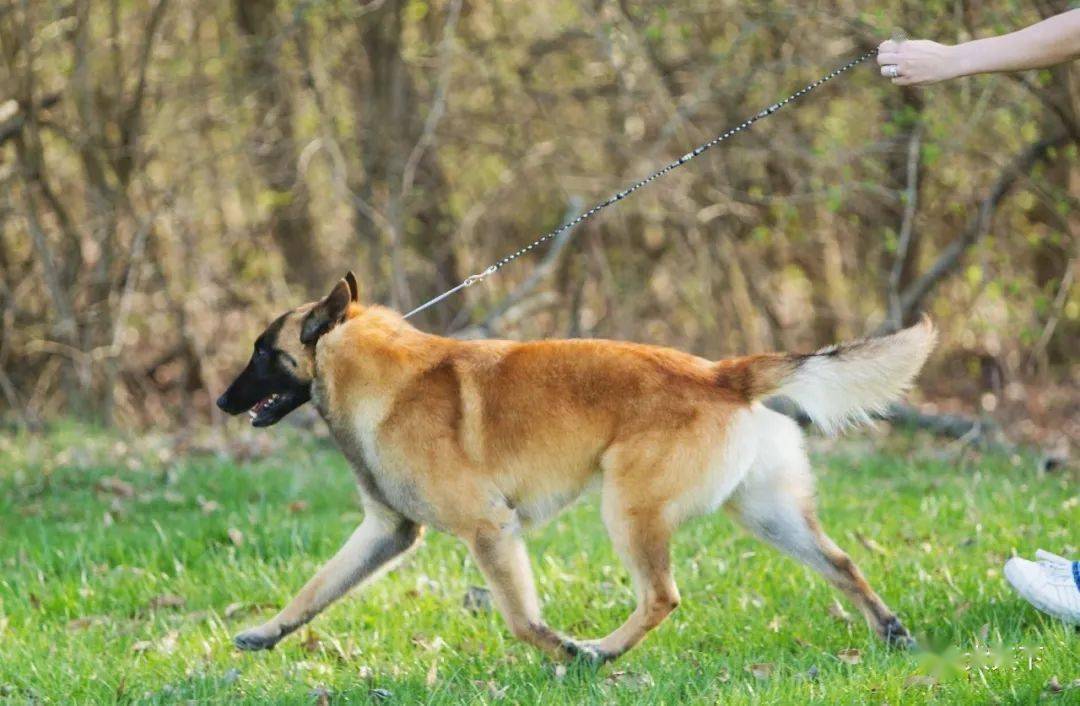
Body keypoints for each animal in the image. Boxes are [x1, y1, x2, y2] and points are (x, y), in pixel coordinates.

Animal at [214, 275, 933, 664]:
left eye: (262, 352)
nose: (221, 402)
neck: (377, 376)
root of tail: (721, 373)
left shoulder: (489, 531)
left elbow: (520, 619)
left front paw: (561, 652)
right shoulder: (385, 533)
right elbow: (313, 590)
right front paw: (264, 633)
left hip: (628, 509)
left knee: (662, 596)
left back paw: (602, 651)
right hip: (765, 513)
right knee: (842, 564)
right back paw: (890, 631)